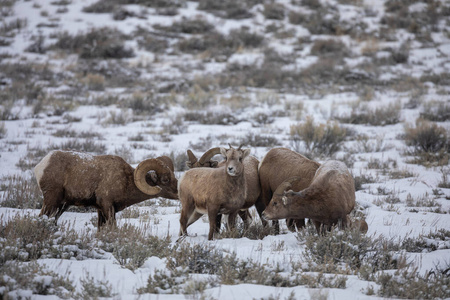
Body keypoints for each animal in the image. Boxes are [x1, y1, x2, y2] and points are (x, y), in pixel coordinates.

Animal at [34, 150, 178, 227]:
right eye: (165, 179)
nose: (179, 193)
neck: (126, 181)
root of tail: (41, 165)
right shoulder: (108, 206)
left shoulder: (101, 210)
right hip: (52, 201)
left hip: (62, 205)